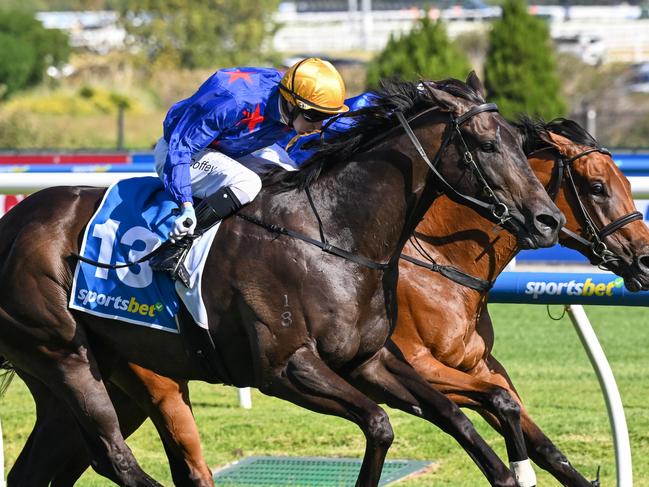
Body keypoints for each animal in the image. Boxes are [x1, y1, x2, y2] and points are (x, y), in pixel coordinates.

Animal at [8, 117, 644, 487]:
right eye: (595, 185)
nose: (641, 259)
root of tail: (13, 224)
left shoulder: (455, 364)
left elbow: (523, 428)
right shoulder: (391, 362)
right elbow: (478, 411)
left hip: (99, 384)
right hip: (97, 368)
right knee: (143, 460)